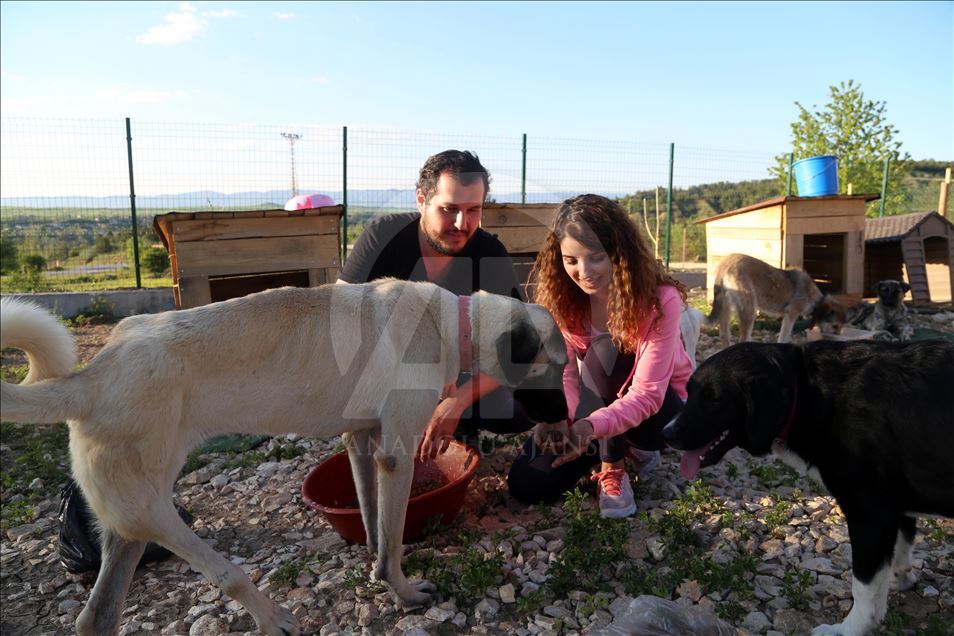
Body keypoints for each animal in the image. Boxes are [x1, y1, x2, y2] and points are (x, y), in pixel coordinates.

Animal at [0, 280, 564, 632]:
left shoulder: (361, 442)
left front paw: (377, 573)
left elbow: (374, 523)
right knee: (226, 573)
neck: (452, 322)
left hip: (125, 528)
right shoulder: (396, 455)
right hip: (153, 511)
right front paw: (402, 593)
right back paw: (273, 619)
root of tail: (92, 379)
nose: (567, 416)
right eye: (556, 369)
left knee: (95, 617)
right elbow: (394, 539)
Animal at [660, 342, 952, 636]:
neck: (807, 393)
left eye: (714, 399)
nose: (666, 434)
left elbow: (863, 586)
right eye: (689, 392)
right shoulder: (895, 507)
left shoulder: (870, 513)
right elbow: (900, 547)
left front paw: (848, 629)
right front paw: (899, 579)